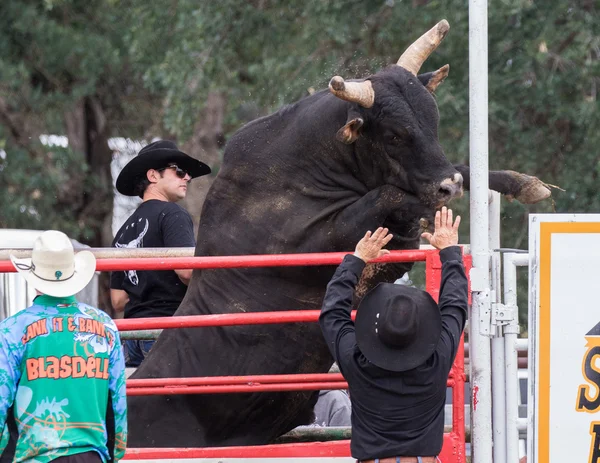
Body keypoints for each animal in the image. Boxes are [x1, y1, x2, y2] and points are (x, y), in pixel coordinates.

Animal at [126, 21, 548, 450]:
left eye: (433, 120)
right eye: (394, 135)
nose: (449, 187)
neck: (299, 168)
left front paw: (523, 183)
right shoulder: (315, 243)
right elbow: (391, 194)